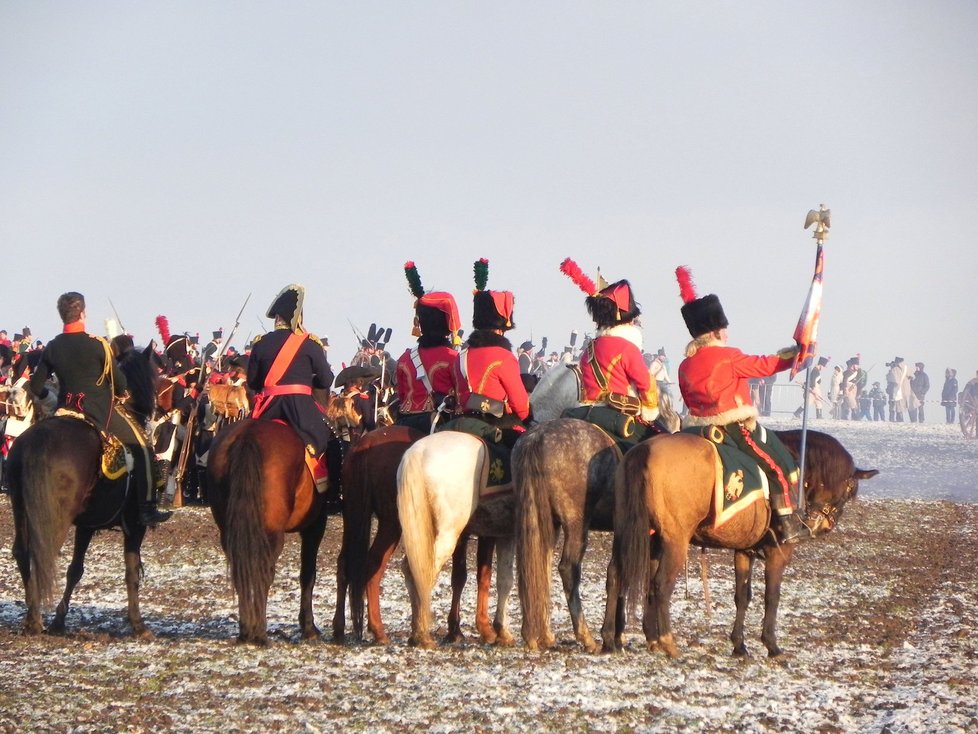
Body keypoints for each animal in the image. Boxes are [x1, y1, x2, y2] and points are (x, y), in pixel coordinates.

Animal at [6, 344, 160, 640]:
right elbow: (132, 571)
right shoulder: (135, 525)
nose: (154, 410)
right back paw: (35, 619)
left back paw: (32, 616)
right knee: (43, 554)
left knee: (23, 551)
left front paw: (59, 620)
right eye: (153, 375)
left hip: (20, 505)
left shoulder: (87, 524)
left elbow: (75, 569)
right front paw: (138, 624)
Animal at [600, 428, 880, 660]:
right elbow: (772, 596)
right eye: (849, 489)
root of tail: (644, 451)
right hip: (674, 542)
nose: (823, 526)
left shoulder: (744, 551)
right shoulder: (779, 552)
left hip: (631, 534)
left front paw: (739, 645)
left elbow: (742, 596)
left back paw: (610, 639)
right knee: (660, 585)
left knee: (616, 575)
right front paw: (771, 645)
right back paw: (667, 642)